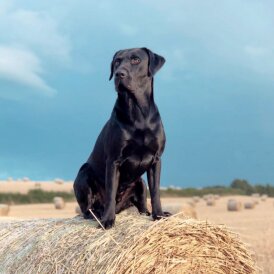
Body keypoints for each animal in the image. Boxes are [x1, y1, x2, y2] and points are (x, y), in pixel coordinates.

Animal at [74, 47, 170, 229]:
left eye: (136, 60)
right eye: (117, 61)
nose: (119, 74)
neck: (138, 112)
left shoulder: (156, 160)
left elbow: (156, 192)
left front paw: (159, 215)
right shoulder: (113, 160)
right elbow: (111, 193)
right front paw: (107, 220)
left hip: (140, 183)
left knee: (141, 205)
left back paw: (149, 213)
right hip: (84, 173)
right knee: (87, 209)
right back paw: (98, 214)